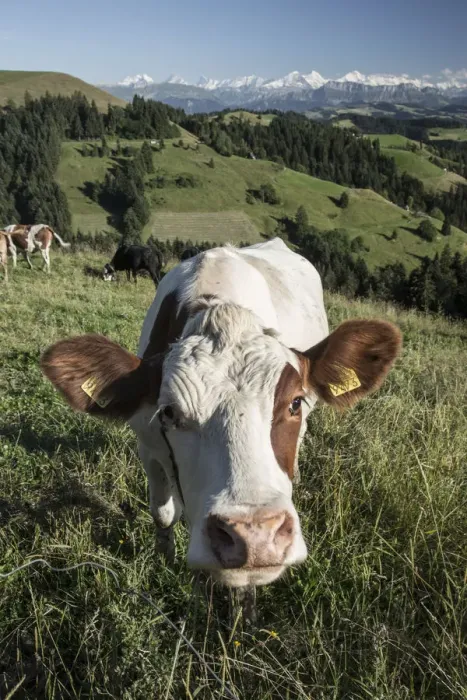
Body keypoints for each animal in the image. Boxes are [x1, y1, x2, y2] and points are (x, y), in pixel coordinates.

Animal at [41, 238, 402, 589]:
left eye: (295, 402)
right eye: (168, 412)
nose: (255, 537)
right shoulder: (148, 444)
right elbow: (162, 512)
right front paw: (165, 555)